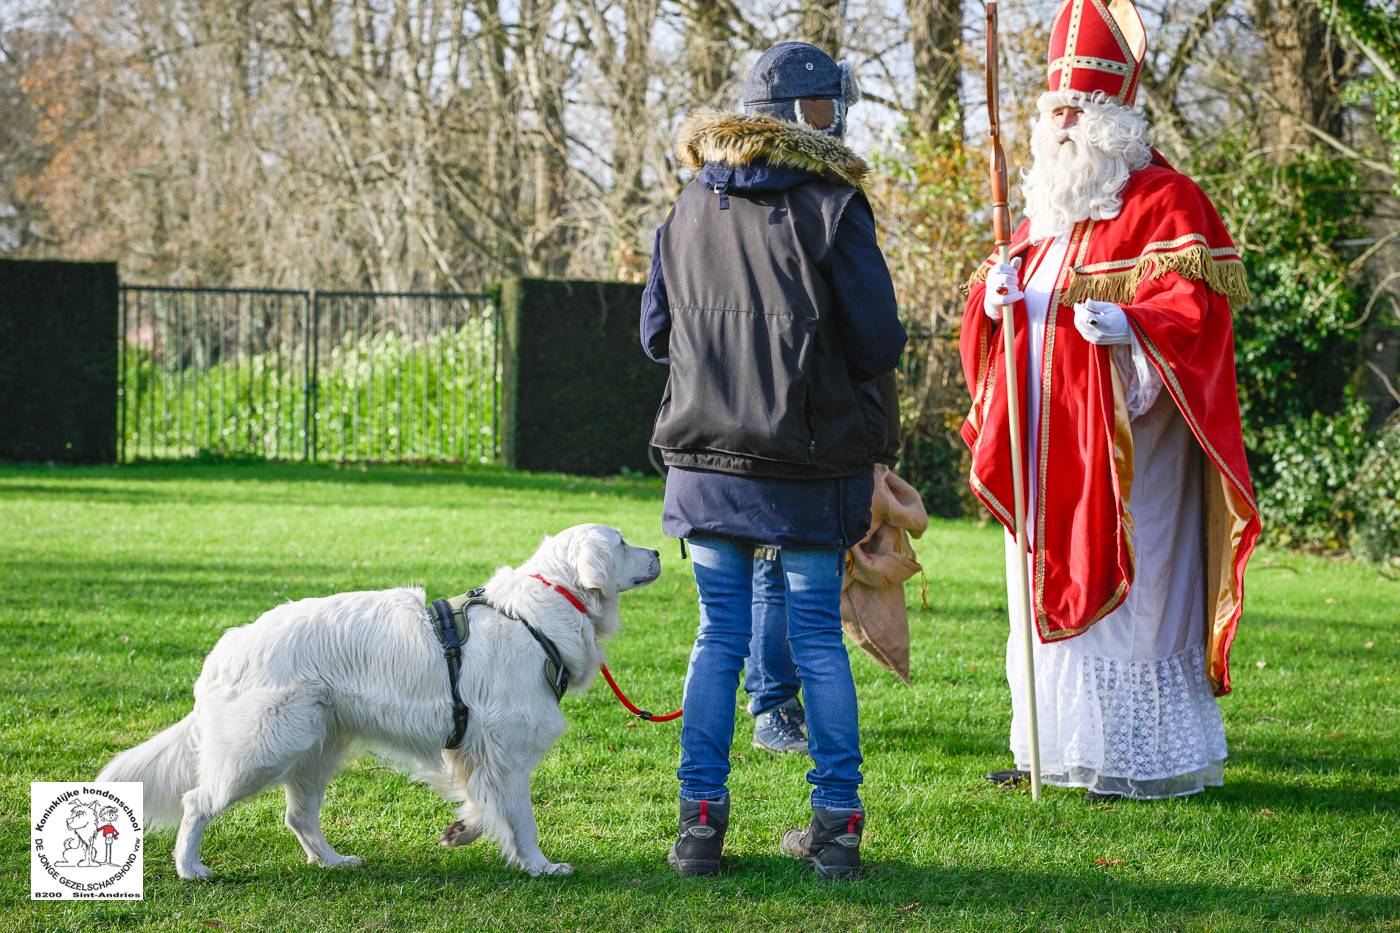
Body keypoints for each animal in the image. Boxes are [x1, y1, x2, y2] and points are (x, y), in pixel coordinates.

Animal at [97, 523, 660, 879]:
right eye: (622, 541)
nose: (658, 551)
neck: (541, 613)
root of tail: (226, 649)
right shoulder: (505, 751)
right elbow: (520, 817)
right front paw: (540, 866)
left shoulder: (473, 750)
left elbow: (484, 803)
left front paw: (462, 831)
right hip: (262, 750)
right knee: (198, 802)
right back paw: (190, 868)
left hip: (316, 749)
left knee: (298, 817)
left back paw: (332, 862)